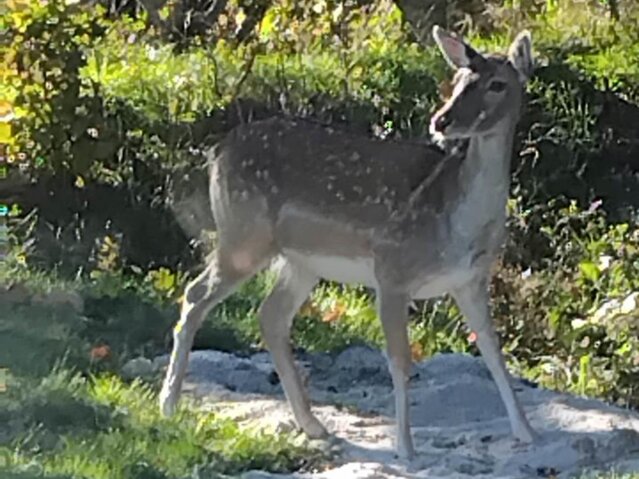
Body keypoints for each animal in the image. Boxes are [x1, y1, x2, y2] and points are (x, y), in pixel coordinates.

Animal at [159, 26, 536, 462]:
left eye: (497, 84)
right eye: (458, 79)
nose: (441, 121)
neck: (458, 224)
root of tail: (216, 152)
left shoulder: (470, 280)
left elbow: (493, 352)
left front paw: (527, 433)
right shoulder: (391, 270)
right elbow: (400, 360)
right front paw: (405, 448)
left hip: (301, 261)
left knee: (270, 315)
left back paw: (313, 425)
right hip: (243, 234)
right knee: (195, 294)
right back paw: (168, 405)